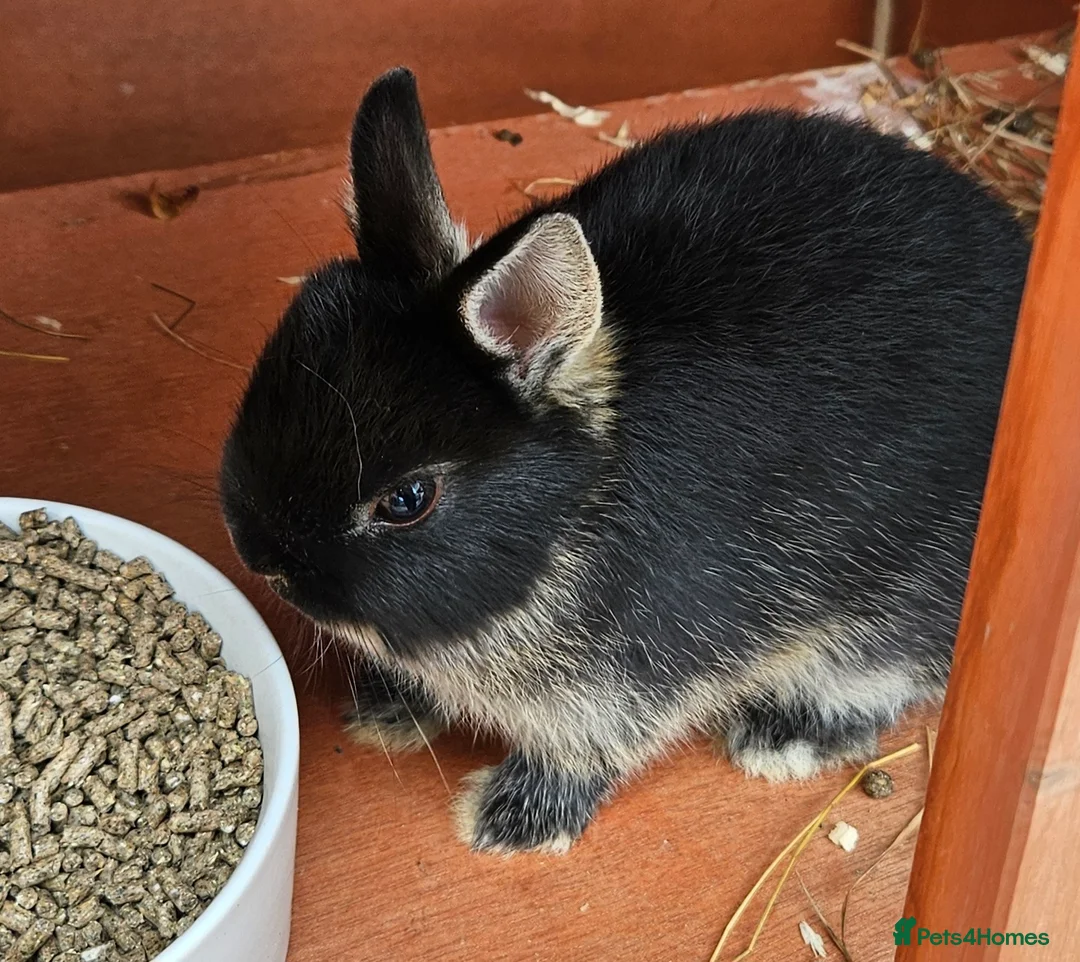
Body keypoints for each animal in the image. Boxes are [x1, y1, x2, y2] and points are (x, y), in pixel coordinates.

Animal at [219, 66, 1030, 854]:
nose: (265, 561)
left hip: (893, 615)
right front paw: (386, 710)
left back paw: (779, 740)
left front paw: (505, 822)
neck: (577, 507)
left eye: (408, 499)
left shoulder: (624, 687)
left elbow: (587, 751)